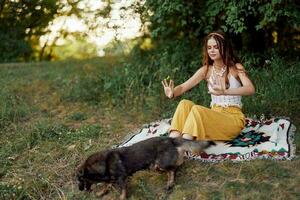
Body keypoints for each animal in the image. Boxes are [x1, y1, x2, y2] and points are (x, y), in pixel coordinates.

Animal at [76, 137, 214, 199]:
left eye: (80, 180)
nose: (80, 190)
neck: (104, 163)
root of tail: (170, 139)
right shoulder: (111, 178)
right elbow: (106, 184)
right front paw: (101, 192)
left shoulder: (122, 178)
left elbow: (122, 191)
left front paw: (121, 197)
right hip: (159, 165)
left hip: (161, 164)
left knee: (173, 169)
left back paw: (170, 183)